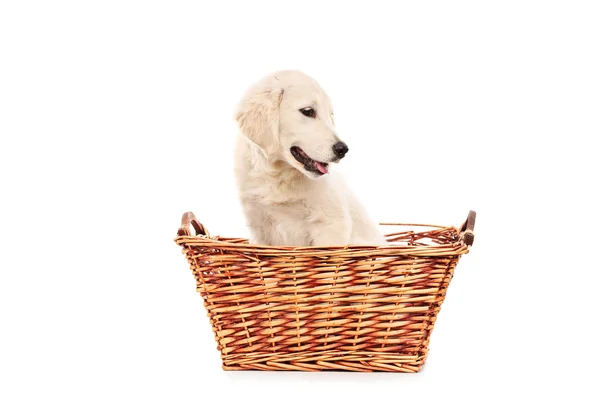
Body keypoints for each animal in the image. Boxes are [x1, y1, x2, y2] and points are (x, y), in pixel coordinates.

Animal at [232, 71, 386, 247]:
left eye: (330, 115)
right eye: (308, 111)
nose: (343, 149)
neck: (278, 174)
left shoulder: (332, 224)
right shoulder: (259, 229)